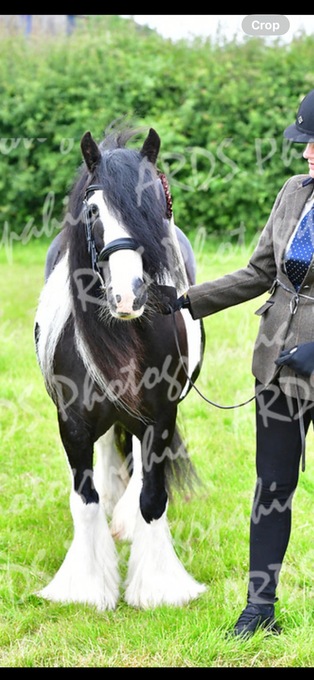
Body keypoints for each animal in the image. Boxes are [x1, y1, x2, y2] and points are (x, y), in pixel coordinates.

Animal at [34, 123, 206, 612]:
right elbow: (85, 499)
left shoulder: (161, 416)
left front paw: (158, 588)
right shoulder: (71, 424)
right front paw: (87, 587)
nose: (128, 296)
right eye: (93, 211)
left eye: (156, 207)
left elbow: (153, 496)